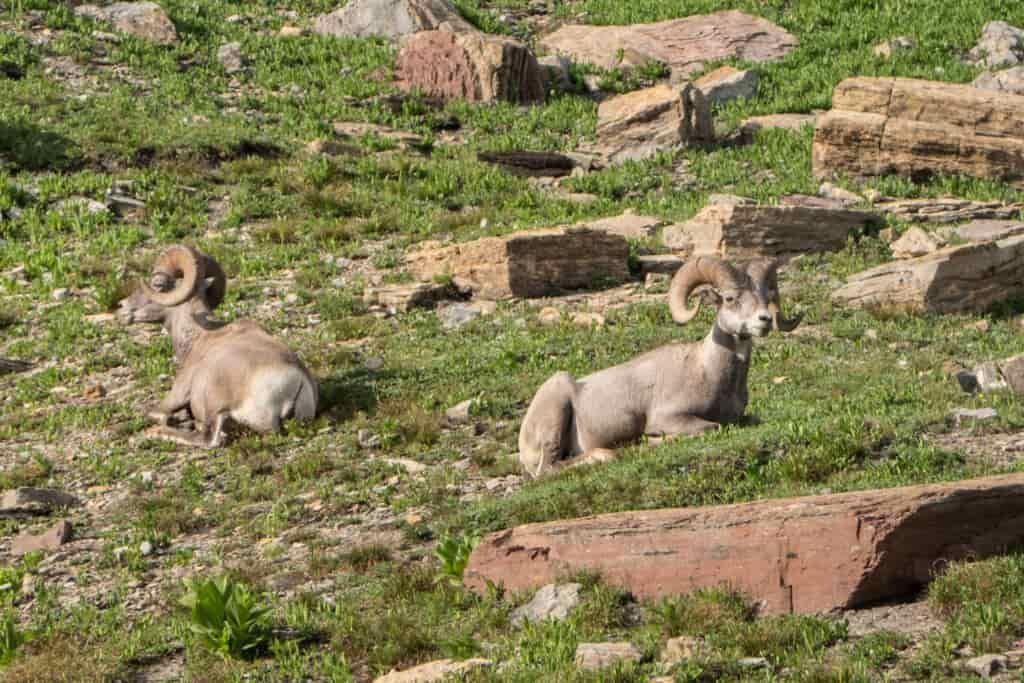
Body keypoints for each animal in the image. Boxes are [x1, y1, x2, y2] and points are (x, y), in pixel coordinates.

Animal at [118, 245, 318, 448]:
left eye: (157, 284)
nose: (122, 307)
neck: (199, 338)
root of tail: (297, 383)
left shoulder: (177, 394)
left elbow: (153, 412)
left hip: (216, 407)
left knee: (211, 439)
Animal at [518, 256, 801, 478]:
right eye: (730, 298)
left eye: (767, 297)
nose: (764, 320)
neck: (707, 370)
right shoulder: (669, 417)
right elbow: (711, 427)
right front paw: (652, 440)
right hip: (556, 411)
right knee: (549, 470)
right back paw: (608, 454)